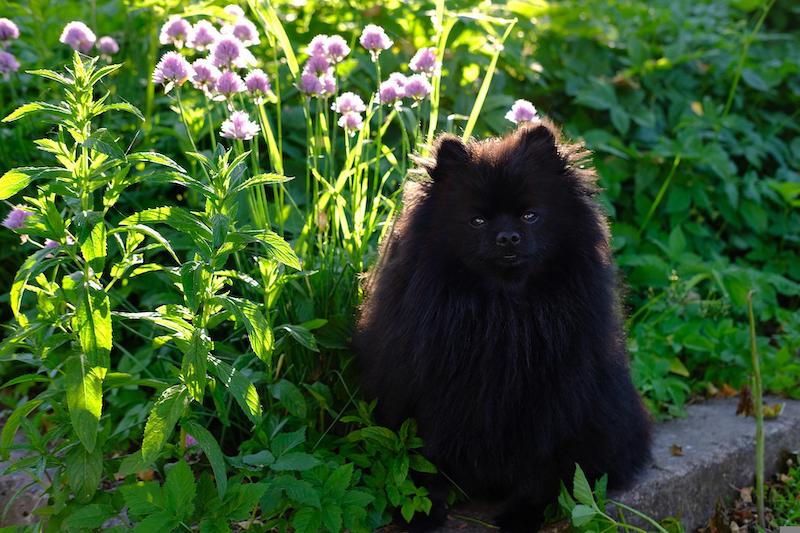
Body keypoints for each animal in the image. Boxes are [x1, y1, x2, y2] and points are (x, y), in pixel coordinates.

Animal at [354, 120, 648, 532]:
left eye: (530, 216)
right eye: (477, 221)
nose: (507, 237)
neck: (503, 309)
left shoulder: (549, 400)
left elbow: (540, 468)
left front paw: (522, 514)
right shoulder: (430, 392)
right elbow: (424, 458)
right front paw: (423, 512)